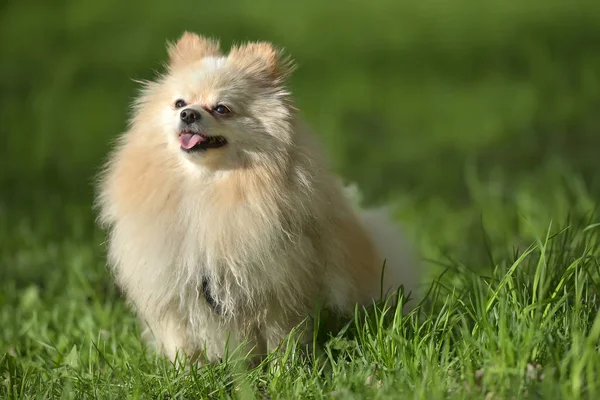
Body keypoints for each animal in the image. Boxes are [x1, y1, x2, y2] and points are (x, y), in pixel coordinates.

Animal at [96, 32, 420, 366]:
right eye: (179, 103)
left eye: (222, 109)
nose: (188, 114)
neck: (206, 188)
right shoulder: (173, 292)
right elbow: (181, 345)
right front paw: (184, 374)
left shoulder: (276, 292)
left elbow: (282, 339)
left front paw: (284, 371)